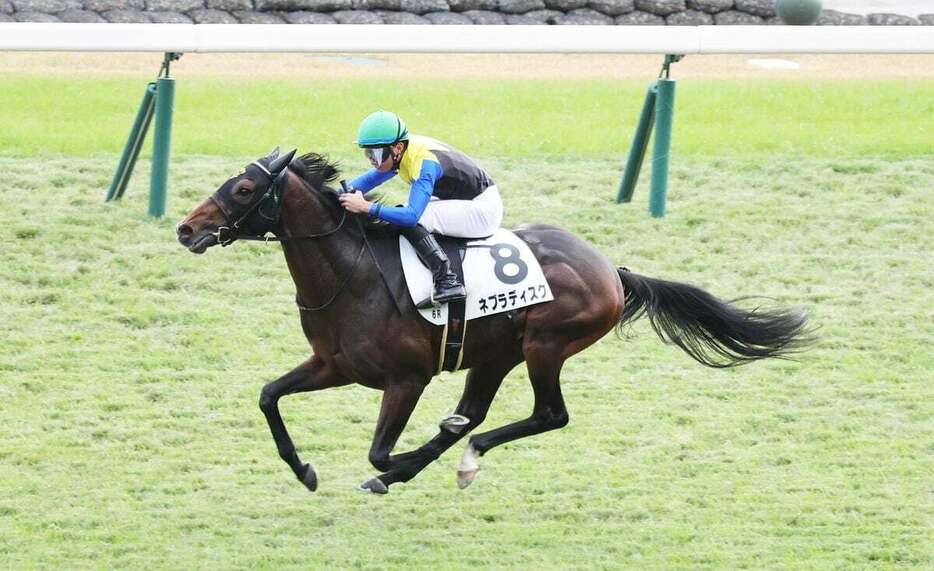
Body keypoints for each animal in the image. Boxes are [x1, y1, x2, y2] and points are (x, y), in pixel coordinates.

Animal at [176, 150, 812, 494]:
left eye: (244, 187)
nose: (186, 228)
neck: (349, 273)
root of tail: (611, 269)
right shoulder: (334, 364)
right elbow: (268, 396)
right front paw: (304, 470)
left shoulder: (407, 379)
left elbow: (379, 452)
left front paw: (394, 467)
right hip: (496, 351)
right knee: (476, 411)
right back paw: (456, 444)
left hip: (545, 345)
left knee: (547, 415)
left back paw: (458, 458)